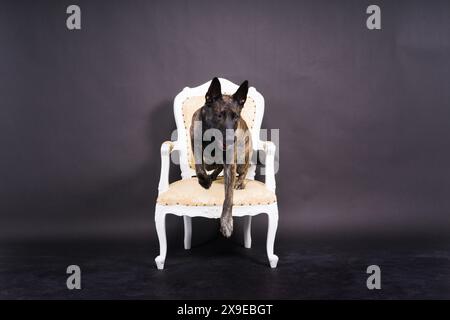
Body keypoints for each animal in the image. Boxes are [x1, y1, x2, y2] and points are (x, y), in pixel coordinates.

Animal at [190, 78, 253, 238]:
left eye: (236, 117)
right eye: (219, 115)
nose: (231, 140)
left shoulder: (230, 164)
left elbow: (229, 197)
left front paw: (226, 222)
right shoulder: (195, 144)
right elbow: (200, 166)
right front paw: (204, 181)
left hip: (242, 159)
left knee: (243, 171)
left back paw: (240, 182)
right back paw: (211, 176)